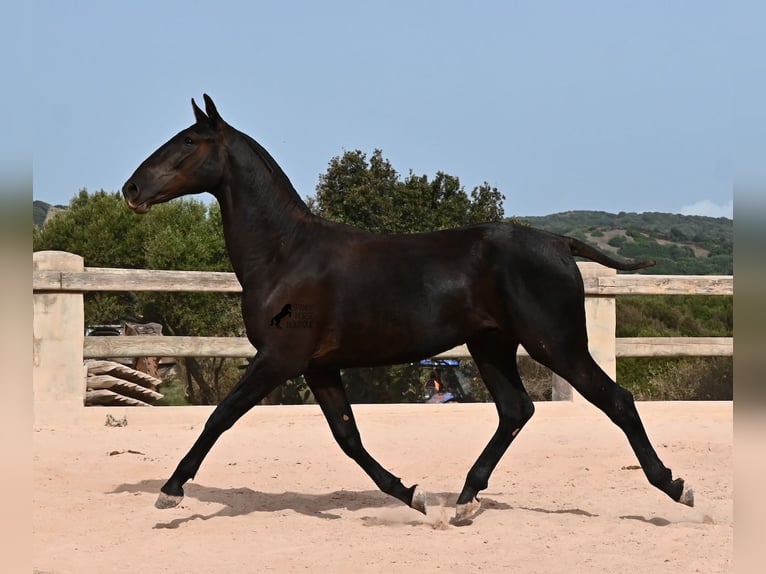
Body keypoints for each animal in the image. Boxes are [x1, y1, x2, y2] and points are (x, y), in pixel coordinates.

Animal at [122, 94, 694, 521]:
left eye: (189, 142)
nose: (131, 189)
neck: (286, 254)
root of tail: (559, 243)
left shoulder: (280, 358)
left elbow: (220, 416)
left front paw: (170, 491)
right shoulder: (319, 367)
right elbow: (348, 437)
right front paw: (412, 495)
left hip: (555, 343)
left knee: (616, 400)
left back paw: (676, 487)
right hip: (492, 345)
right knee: (516, 410)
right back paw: (463, 501)